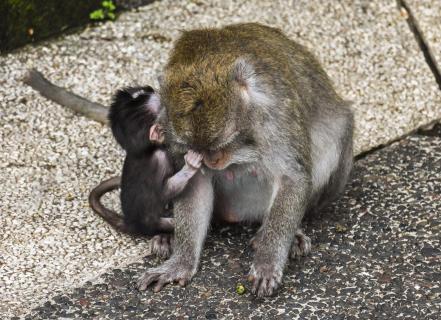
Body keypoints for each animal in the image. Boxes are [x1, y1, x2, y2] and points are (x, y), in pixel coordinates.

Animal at [90, 86, 203, 256]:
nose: (155, 90)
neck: (145, 151)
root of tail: (131, 222)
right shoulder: (159, 160)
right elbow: (166, 191)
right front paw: (191, 165)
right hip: (153, 222)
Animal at [138, 23, 354, 298]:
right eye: (194, 149)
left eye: (223, 142)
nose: (212, 161)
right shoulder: (170, 128)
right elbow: (193, 186)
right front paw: (180, 262)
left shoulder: (275, 115)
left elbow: (293, 178)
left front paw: (268, 261)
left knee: (335, 134)